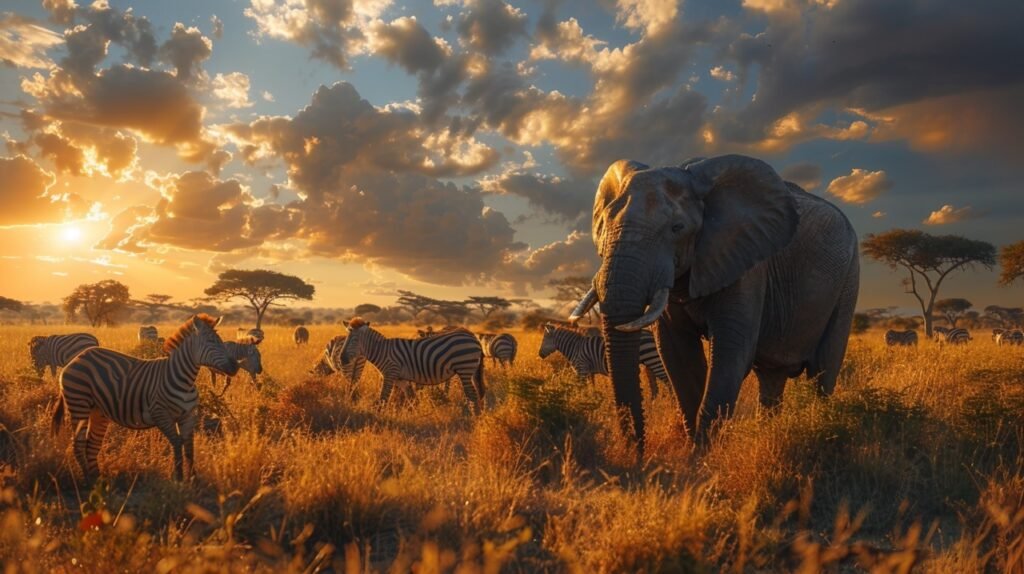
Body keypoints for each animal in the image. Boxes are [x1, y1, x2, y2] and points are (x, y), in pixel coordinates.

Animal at [51, 313, 237, 478]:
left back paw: (98, 479)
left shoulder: (188, 416)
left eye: (221, 341)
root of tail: (77, 358)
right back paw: (87, 481)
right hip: (78, 403)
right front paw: (179, 479)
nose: (235, 366)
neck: (185, 380)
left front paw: (193, 480)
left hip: (97, 410)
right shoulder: (160, 414)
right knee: (78, 444)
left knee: (92, 444)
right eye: (211, 342)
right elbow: (177, 443)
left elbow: (190, 448)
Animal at [337, 317, 485, 411]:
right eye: (347, 338)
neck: (382, 351)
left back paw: (474, 417)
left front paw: (378, 419)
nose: (341, 359)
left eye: (355, 339)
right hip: (470, 370)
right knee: (477, 392)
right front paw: (419, 416)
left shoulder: (390, 374)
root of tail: (472, 335)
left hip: (464, 369)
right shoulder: (401, 379)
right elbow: (413, 399)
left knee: (471, 395)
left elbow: (383, 399)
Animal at [573, 153, 860, 456]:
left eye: (677, 228)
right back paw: (767, 433)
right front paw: (695, 453)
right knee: (771, 378)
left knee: (823, 370)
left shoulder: (747, 263)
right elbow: (678, 356)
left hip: (849, 278)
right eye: (604, 225)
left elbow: (730, 354)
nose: (638, 457)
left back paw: (823, 429)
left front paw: (701, 458)